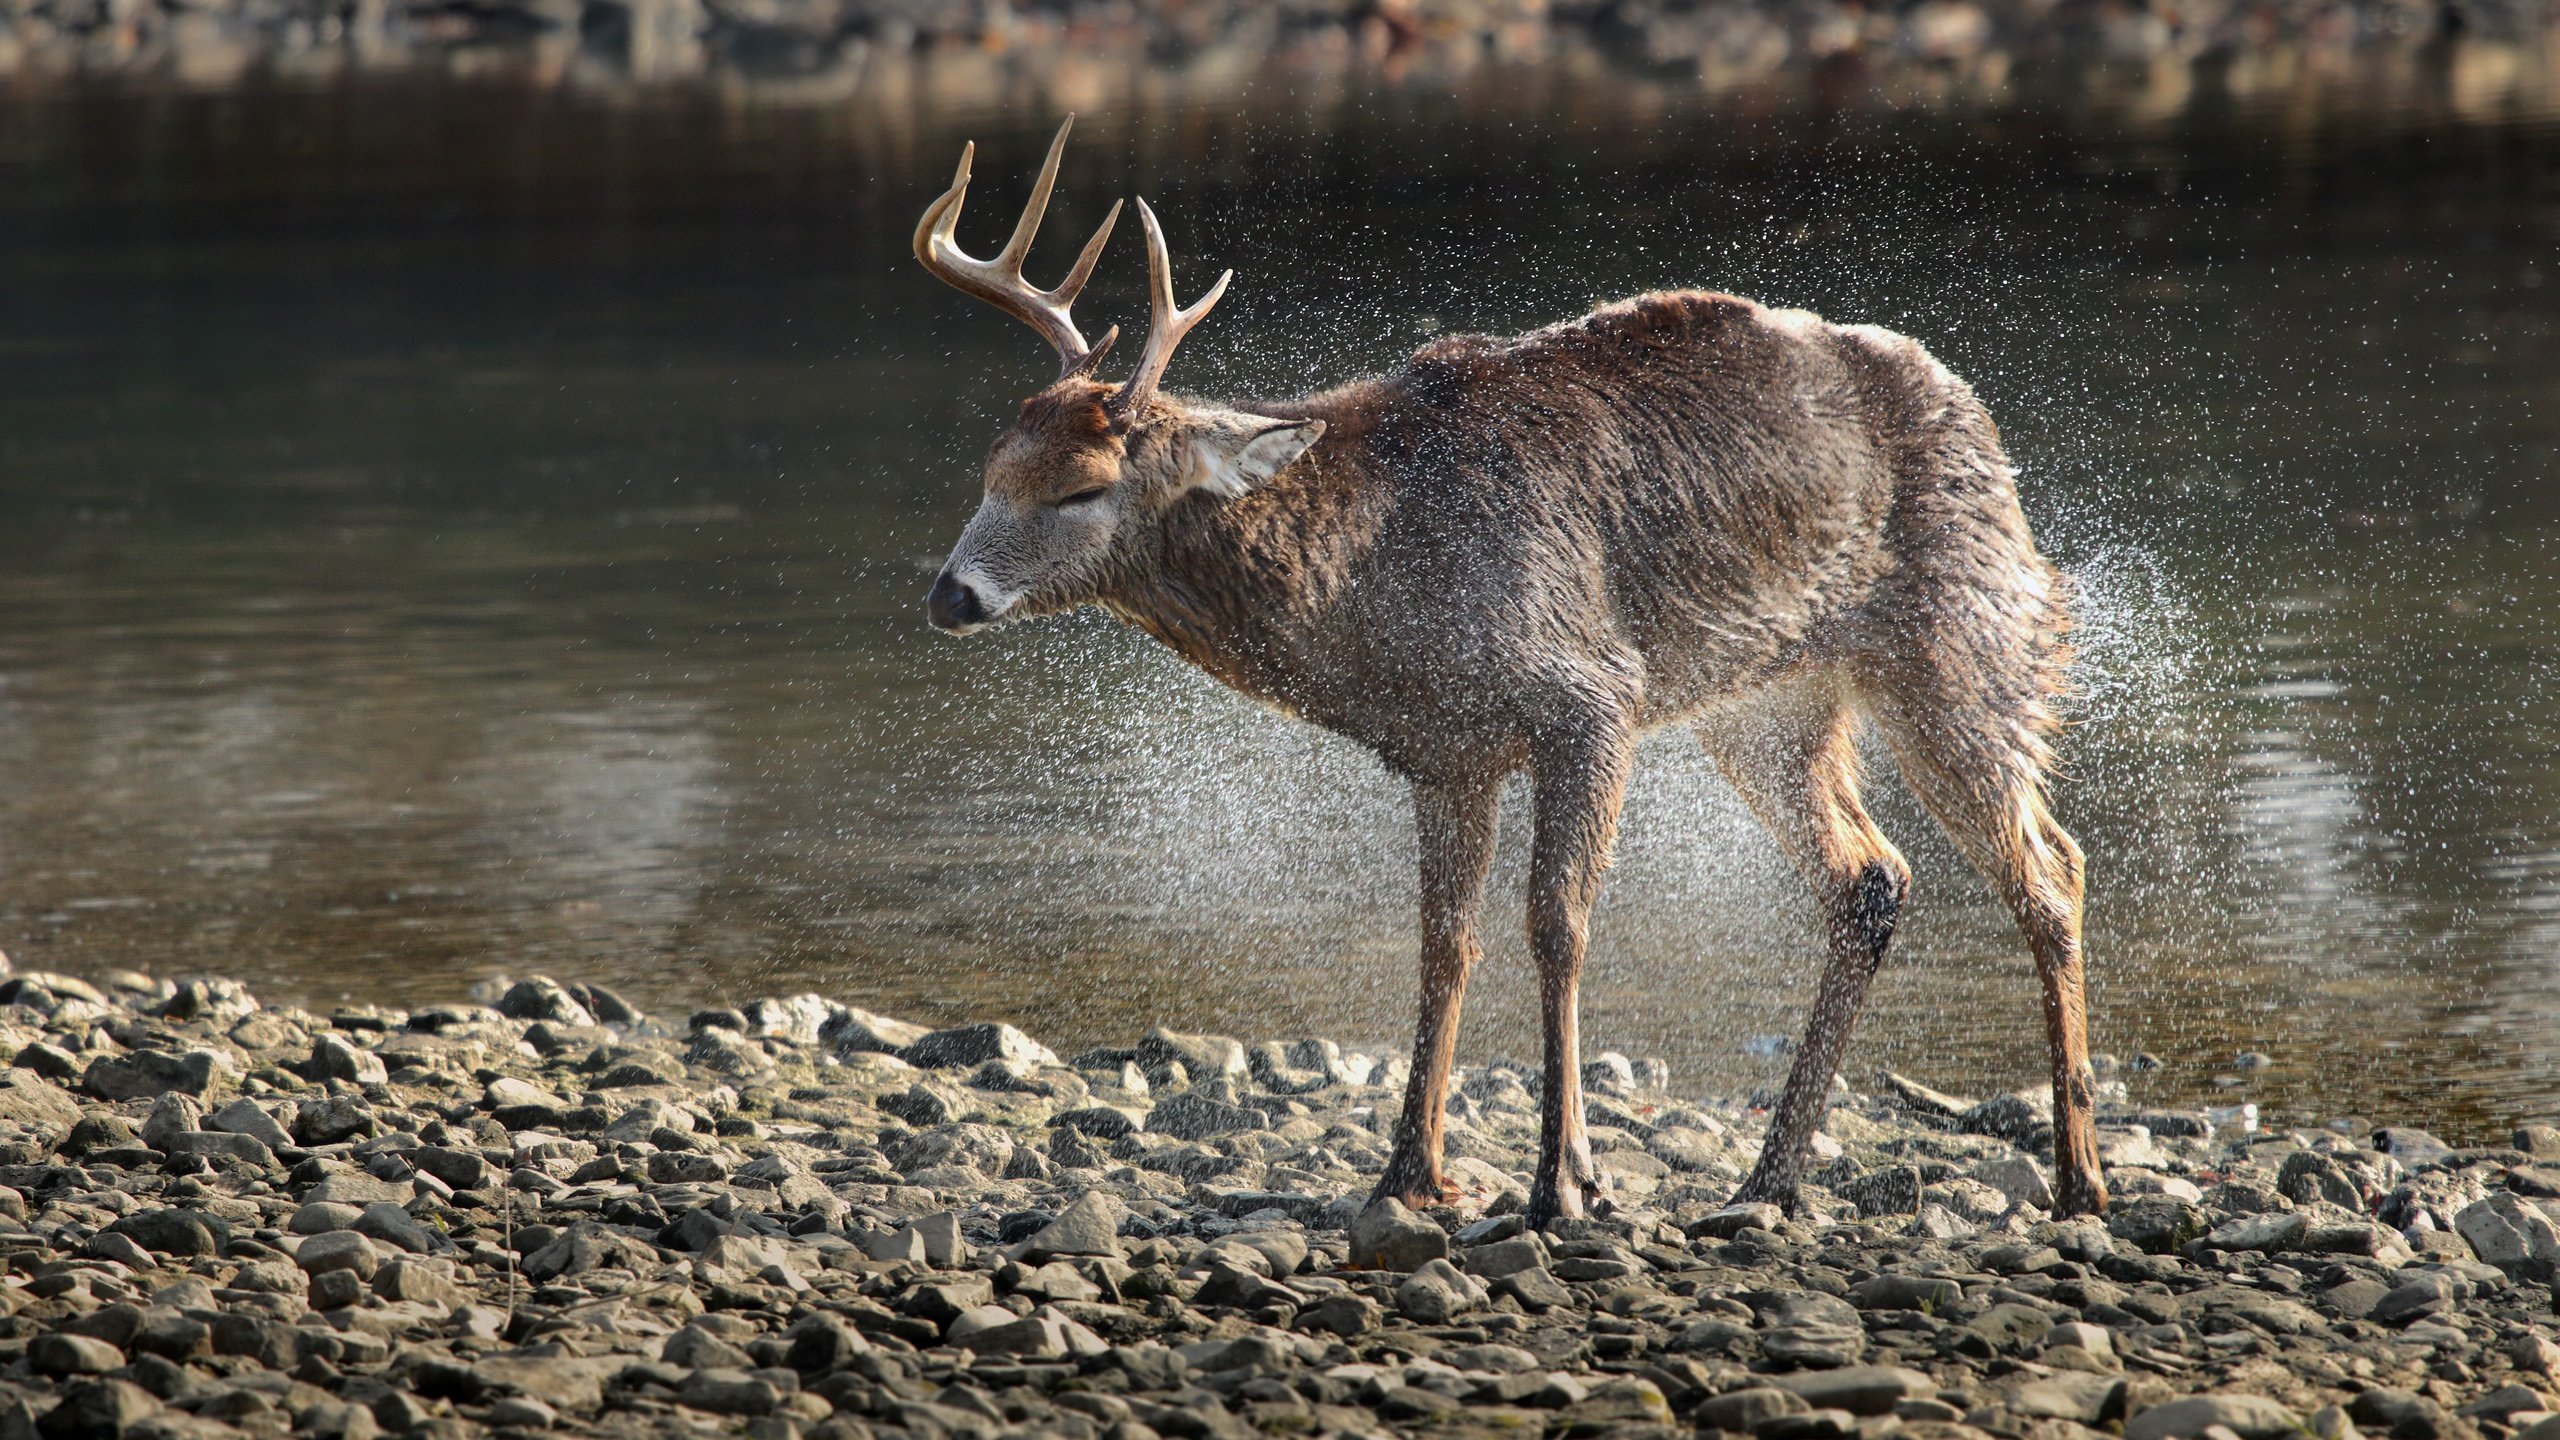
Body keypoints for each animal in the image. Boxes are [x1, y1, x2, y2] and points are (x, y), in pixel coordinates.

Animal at [911, 117, 2109, 1219]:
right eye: (991, 466)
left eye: (1083, 487)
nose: (949, 595)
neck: (1377, 587)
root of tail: (1975, 413)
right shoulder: (1446, 751)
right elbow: (1446, 943)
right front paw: (1407, 1173)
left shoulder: (1591, 694)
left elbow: (1557, 925)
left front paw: (1563, 1179)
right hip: (1769, 704)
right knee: (1871, 875)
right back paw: (1766, 1181)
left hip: (1961, 634)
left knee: (2050, 864)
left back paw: (2078, 1176)